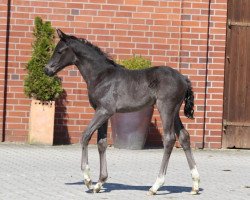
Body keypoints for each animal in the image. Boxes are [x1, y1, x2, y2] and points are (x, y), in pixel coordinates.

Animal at [45, 29, 200, 195]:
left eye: (59, 51)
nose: (46, 70)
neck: (101, 76)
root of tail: (183, 78)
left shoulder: (104, 111)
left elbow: (85, 135)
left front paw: (88, 180)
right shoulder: (103, 113)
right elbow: (101, 143)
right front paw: (100, 183)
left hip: (166, 108)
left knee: (169, 139)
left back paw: (156, 185)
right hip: (175, 111)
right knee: (184, 137)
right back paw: (195, 184)